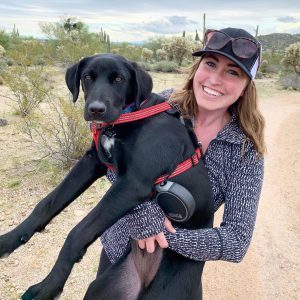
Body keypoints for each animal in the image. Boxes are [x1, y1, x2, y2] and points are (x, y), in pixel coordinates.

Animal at [0, 52, 213, 298]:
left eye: (119, 79)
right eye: (87, 77)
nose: (96, 109)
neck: (126, 118)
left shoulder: (132, 184)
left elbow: (78, 232)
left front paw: (48, 287)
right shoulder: (93, 161)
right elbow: (47, 203)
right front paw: (10, 239)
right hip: (107, 286)